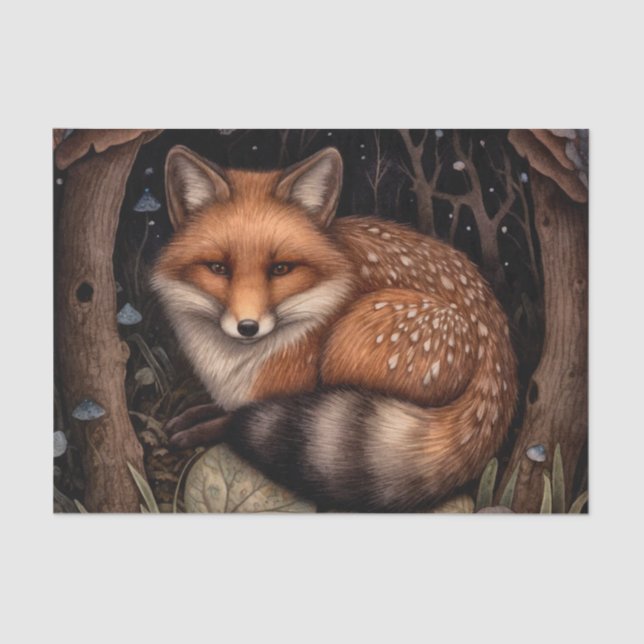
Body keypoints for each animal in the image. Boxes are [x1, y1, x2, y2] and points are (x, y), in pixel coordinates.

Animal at [151, 144, 518, 512]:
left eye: (280, 269)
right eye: (218, 268)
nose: (248, 327)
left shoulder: (288, 390)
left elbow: (236, 418)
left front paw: (195, 431)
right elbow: (220, 407)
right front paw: (191, 415)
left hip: (351, 339)